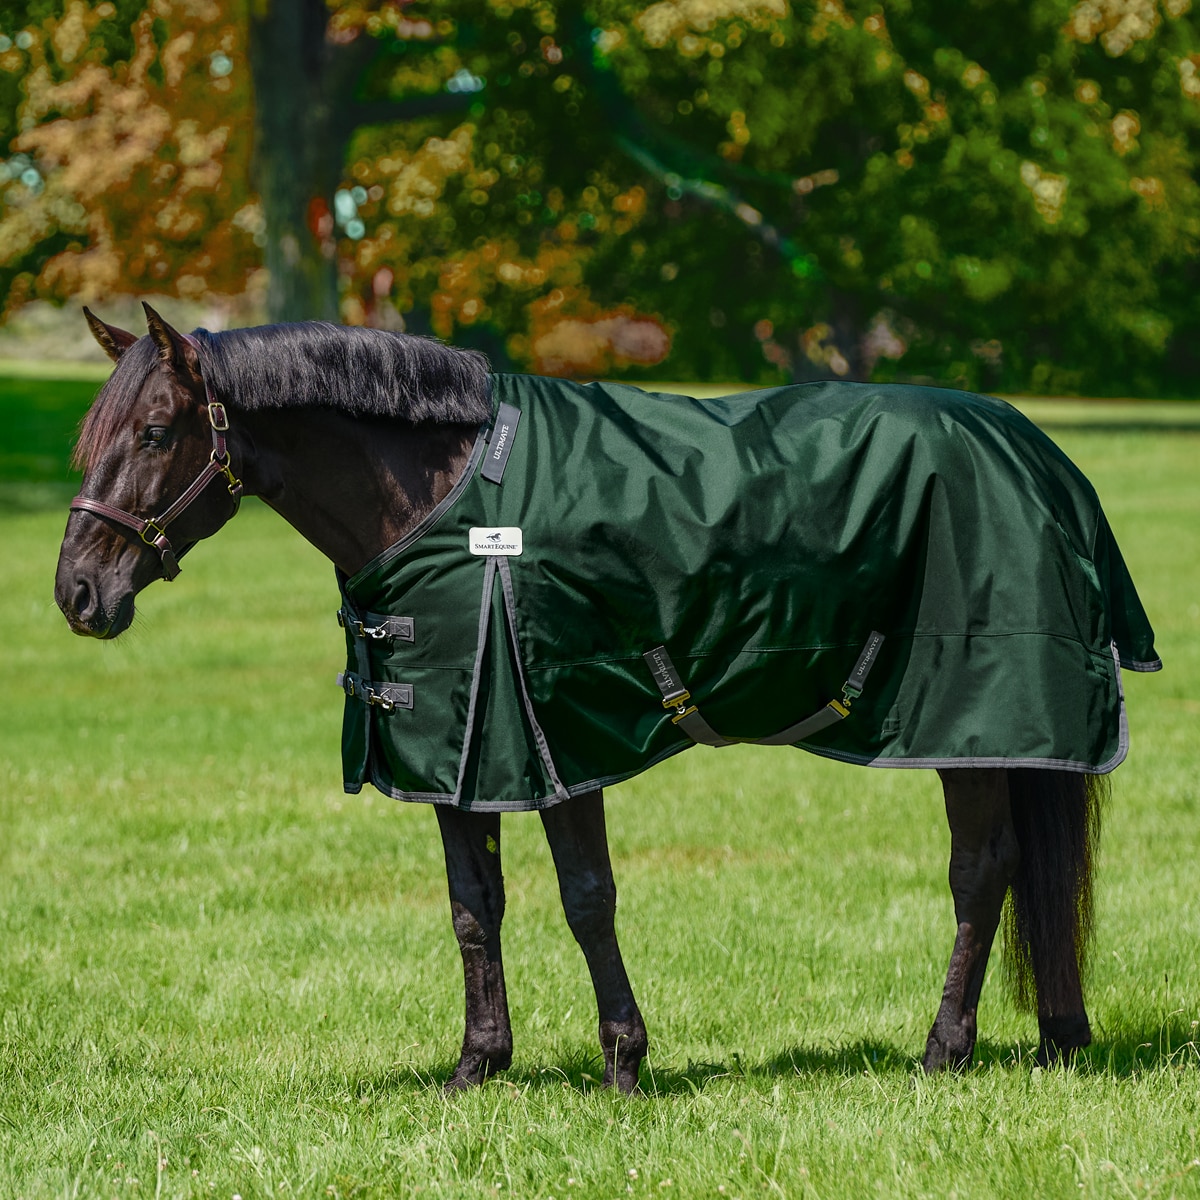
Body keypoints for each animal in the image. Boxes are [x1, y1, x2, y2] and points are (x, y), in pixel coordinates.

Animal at [54, 304, 1159, 1093]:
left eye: (155, 430)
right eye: (88, 437)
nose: (77, 594)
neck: (452, 500)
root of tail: (1038, 454)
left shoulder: (554, 730)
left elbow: (588, 899)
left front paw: (625, 1063)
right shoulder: (460, 748)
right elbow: (474, 908)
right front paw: (477, 1065)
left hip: (972, 719)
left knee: (981, 871)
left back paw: (943, 1051)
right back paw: (1055, 1041)